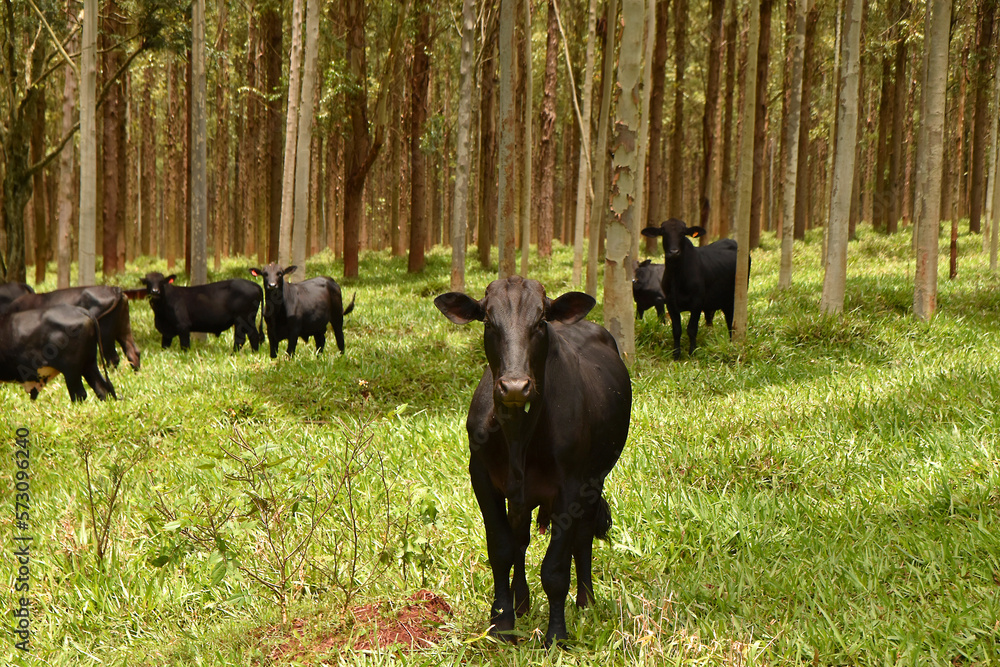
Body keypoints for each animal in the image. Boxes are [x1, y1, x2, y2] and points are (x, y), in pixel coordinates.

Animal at [435, 276, 631, 646]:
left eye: (540, 322)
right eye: (488, 321)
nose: (514, 387)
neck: (518, 435)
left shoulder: (571, 486)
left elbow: (555, 568)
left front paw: (556, 634)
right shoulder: (482, 477)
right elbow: (502, 548)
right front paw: (502, 621)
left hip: (596, 480)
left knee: (582, 537)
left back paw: (585, 601)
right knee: (521, 540)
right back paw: (522, 602)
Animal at [640, 218, 748, 359]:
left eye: (682, 233)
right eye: (663, 232)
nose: (674, 252)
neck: (677, 278)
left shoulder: (697, 302)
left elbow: (691, 329)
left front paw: (692, 352)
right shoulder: (670, 303)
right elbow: (676, 330)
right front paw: (676, 355)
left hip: (733, 299)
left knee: (731, 323)